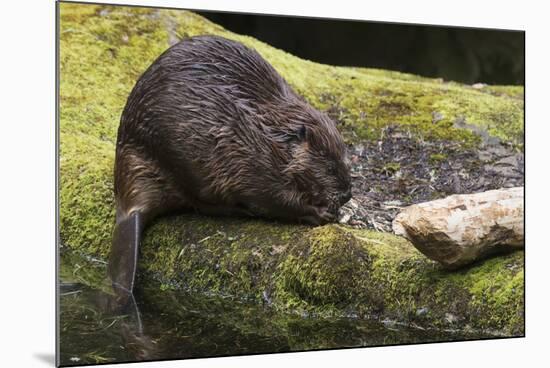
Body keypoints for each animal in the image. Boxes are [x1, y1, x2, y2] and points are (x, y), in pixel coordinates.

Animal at [110, 34, 354, 300]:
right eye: (329, 167)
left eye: (346, 159)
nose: (346, 195)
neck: (270, 134)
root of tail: (129, 209)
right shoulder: (248, 159)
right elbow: (275, 198)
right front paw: (322, 213)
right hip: (183, 163)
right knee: (203, 202)